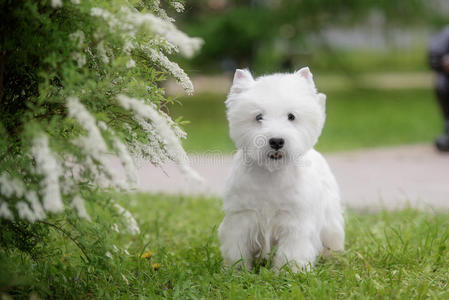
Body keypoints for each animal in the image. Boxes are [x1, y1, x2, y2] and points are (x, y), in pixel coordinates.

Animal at [219, 67, 344, 272]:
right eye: (258, 117)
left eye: (291, 116)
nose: (276, 141)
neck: (271, 174)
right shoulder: (242, 217)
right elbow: (238, 249)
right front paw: (237, 271)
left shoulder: (294, 221)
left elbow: (292, 252)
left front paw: (290, 272)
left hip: (330, 217)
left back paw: (331, 256)